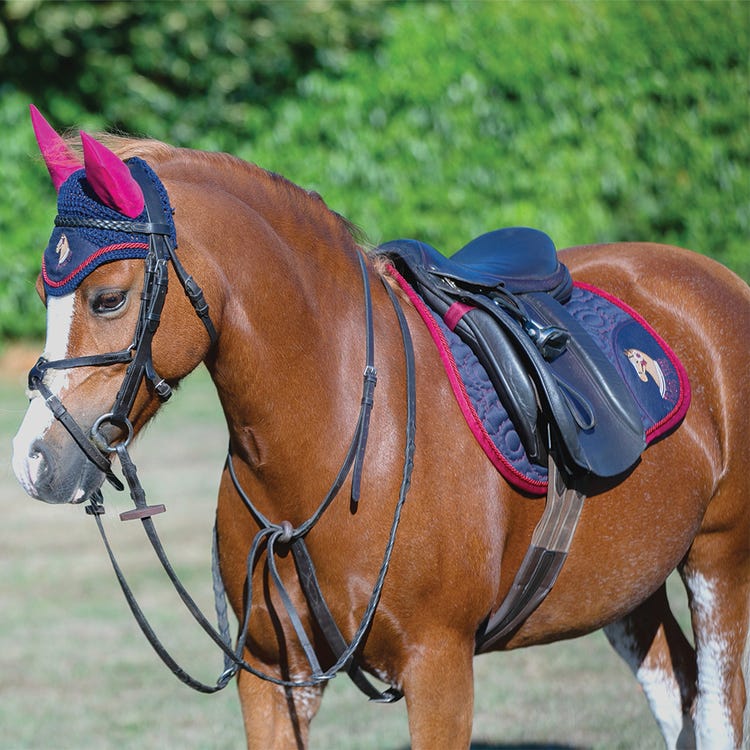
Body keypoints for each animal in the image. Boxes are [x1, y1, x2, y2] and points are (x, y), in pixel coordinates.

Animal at [11, 113, 750, 750]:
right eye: (46, 294)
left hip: (718, 560)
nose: (32, 460)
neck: (334, 439)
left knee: (716, 711)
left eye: (108, 298)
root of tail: (718, 281)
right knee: (676, 694)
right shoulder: (273, 677)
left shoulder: (439, 667)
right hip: (627, 584)